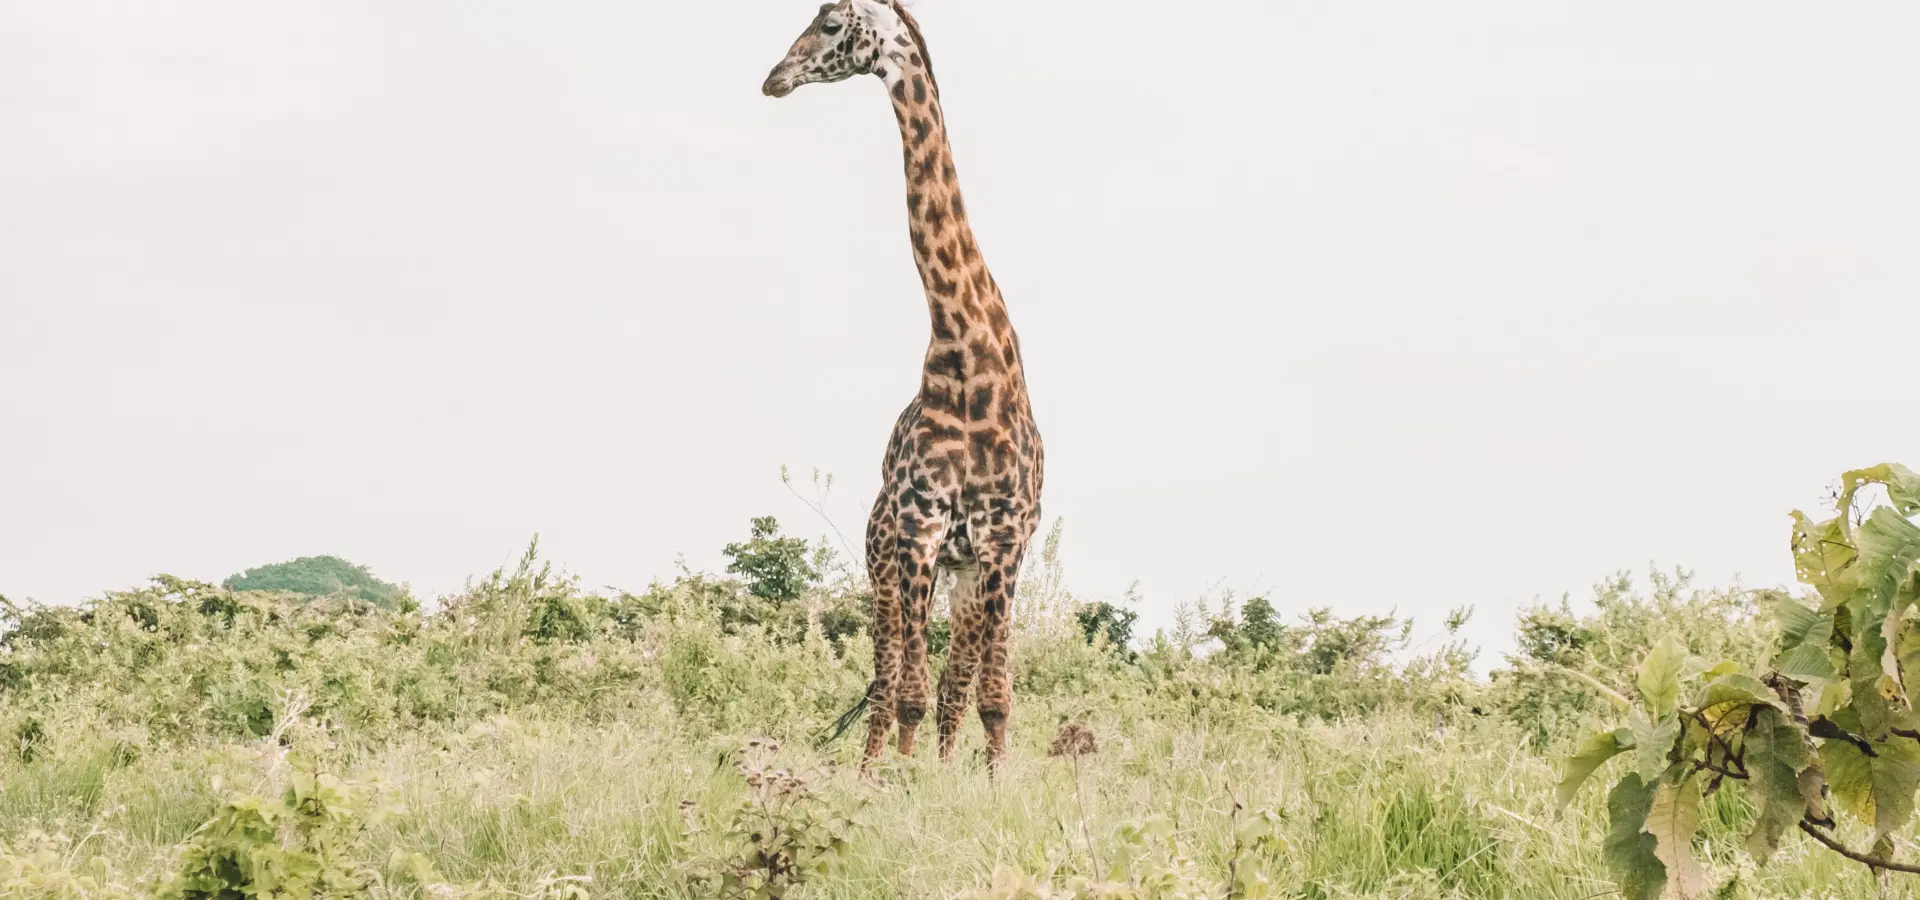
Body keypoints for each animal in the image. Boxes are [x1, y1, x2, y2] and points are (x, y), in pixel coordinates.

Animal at [763, 0, 1044, 771]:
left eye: (830, 23)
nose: (775, 77)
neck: (968, 357)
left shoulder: (1002, 542)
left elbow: (988, 696)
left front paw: (982, 783)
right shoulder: (918, 530)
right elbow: (912, 692)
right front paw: (896, 786)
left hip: (963, 571)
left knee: (947, 683)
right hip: (883, 561)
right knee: (888, 680)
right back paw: (871, 769)